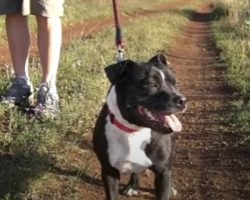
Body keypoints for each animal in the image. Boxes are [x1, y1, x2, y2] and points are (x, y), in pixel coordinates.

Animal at [93, 54, 187, 199]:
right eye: (151, 84)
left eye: (176, 84)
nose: (182, 100)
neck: (134, 130)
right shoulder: (109, 171)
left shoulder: (163, 173)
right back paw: (132, 185)